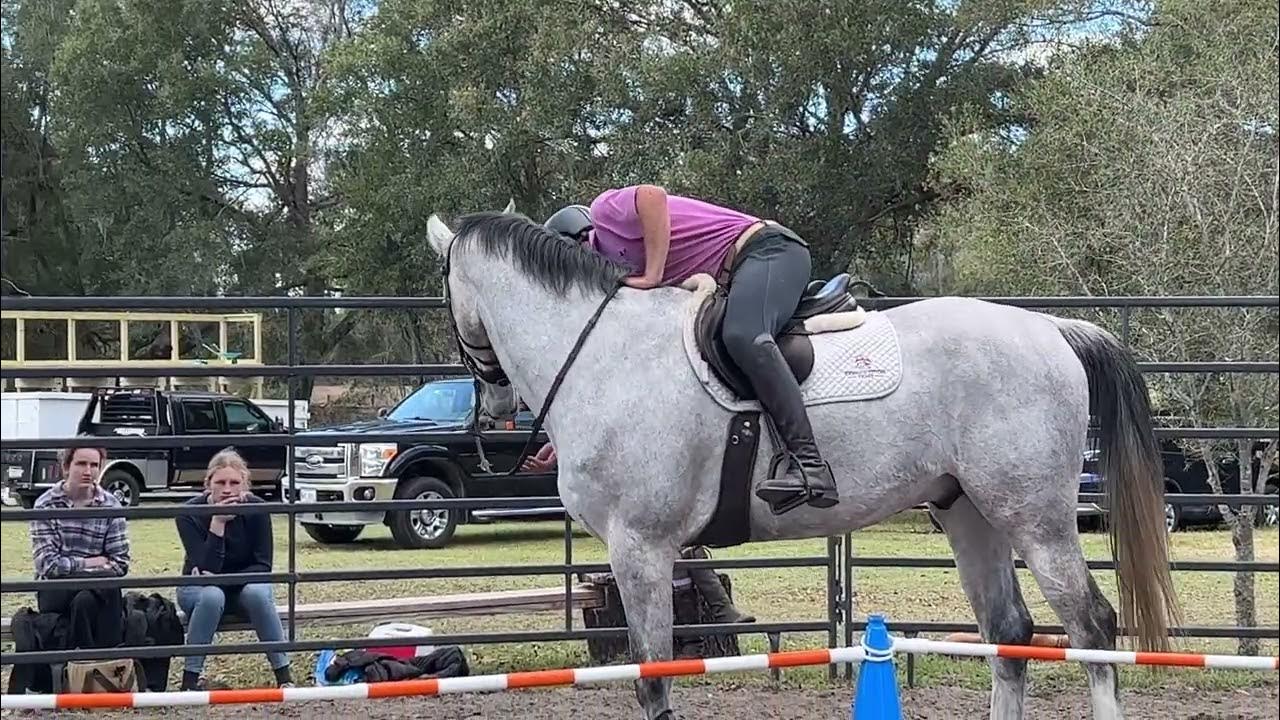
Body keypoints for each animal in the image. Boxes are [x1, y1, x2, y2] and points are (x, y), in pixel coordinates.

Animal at [424, 209, 1181, 720]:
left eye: (444, 298)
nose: (492, 404)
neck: (604, 351)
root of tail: (1050, 328)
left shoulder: (641, 548)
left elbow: (653, 677)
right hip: (970, 514)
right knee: (1011, 634)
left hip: (1036, 516)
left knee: (1092, 627)